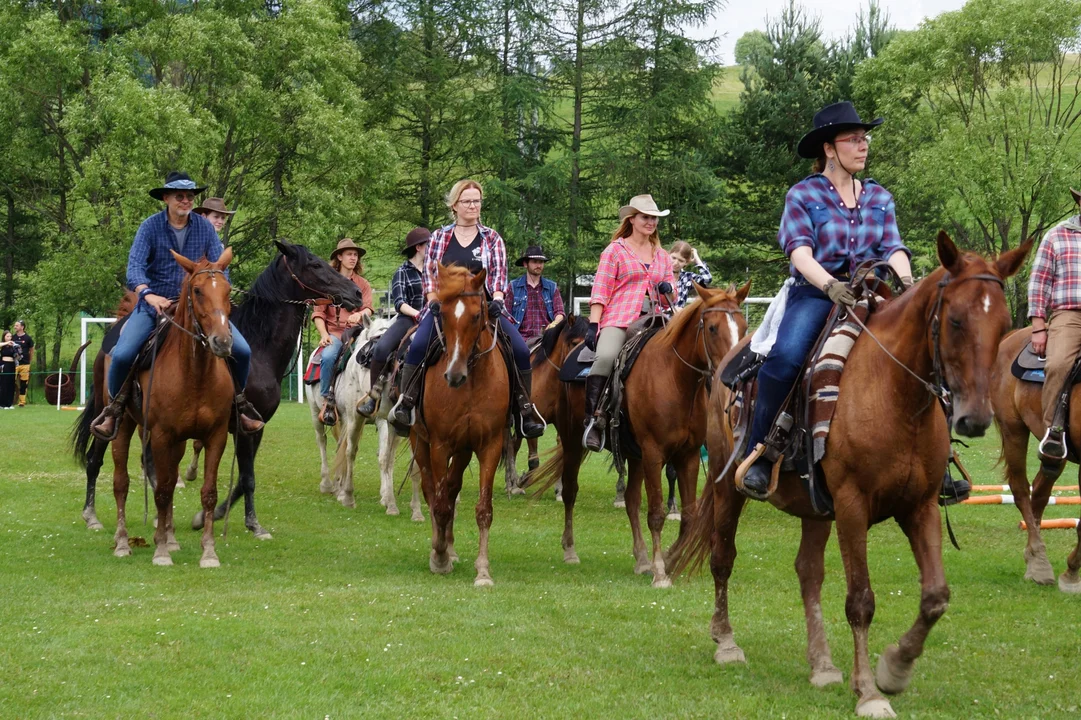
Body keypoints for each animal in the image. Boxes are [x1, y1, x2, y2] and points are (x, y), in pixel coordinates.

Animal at [307, 313, 423, 516]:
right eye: (374, 336)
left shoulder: (382, 421)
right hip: (317, 413)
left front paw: (385, 496)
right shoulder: (354, 418)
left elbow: (384, 456)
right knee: (322, 441)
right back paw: (328, 484)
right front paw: (344, 492)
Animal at [412, 263, 510, 583]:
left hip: (464, 449)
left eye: (477, 315)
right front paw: (440, 557)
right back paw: (439, 547)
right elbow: (440, 504)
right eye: (442, 314)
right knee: (432, 492)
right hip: (420, 443)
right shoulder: (439, 445)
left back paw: (451, 548)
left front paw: (483, 571)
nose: (453, 375)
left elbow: (483, 509)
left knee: (452, 488)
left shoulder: (490, 445)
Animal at [525, 281, 748, 579]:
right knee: (571, 490)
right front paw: (660, 571)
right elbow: (655, 513)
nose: (733, 375)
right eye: (712, 328)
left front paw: (670, 558)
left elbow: (688, 515)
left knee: (631, 500)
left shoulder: (687, 455)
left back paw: (641, 557)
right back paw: (570, 549)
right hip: (572, 441)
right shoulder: (654, 453)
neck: (675, 378)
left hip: (634, 452)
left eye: (744, 327)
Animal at [665, 232, 1029, 713]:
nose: (974, 418)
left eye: (1004, 324)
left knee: (808, 572)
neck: (894, 393)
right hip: (730, 489)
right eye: (954, 320)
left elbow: (935, 596)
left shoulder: (921, 506)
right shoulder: (853, 507)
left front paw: (895, 668)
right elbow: (860, 601)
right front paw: (870, 692)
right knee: (722, 557)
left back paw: (821, 664)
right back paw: (726, 642)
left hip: (815, 507)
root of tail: (731, 361)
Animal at [990, 328, 1081, 592]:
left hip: (1054, 454)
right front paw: (1071, 573)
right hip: (1013, 431)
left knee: (1039, 492)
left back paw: (1033, 556)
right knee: (1021, 490)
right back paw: (1039, 564)